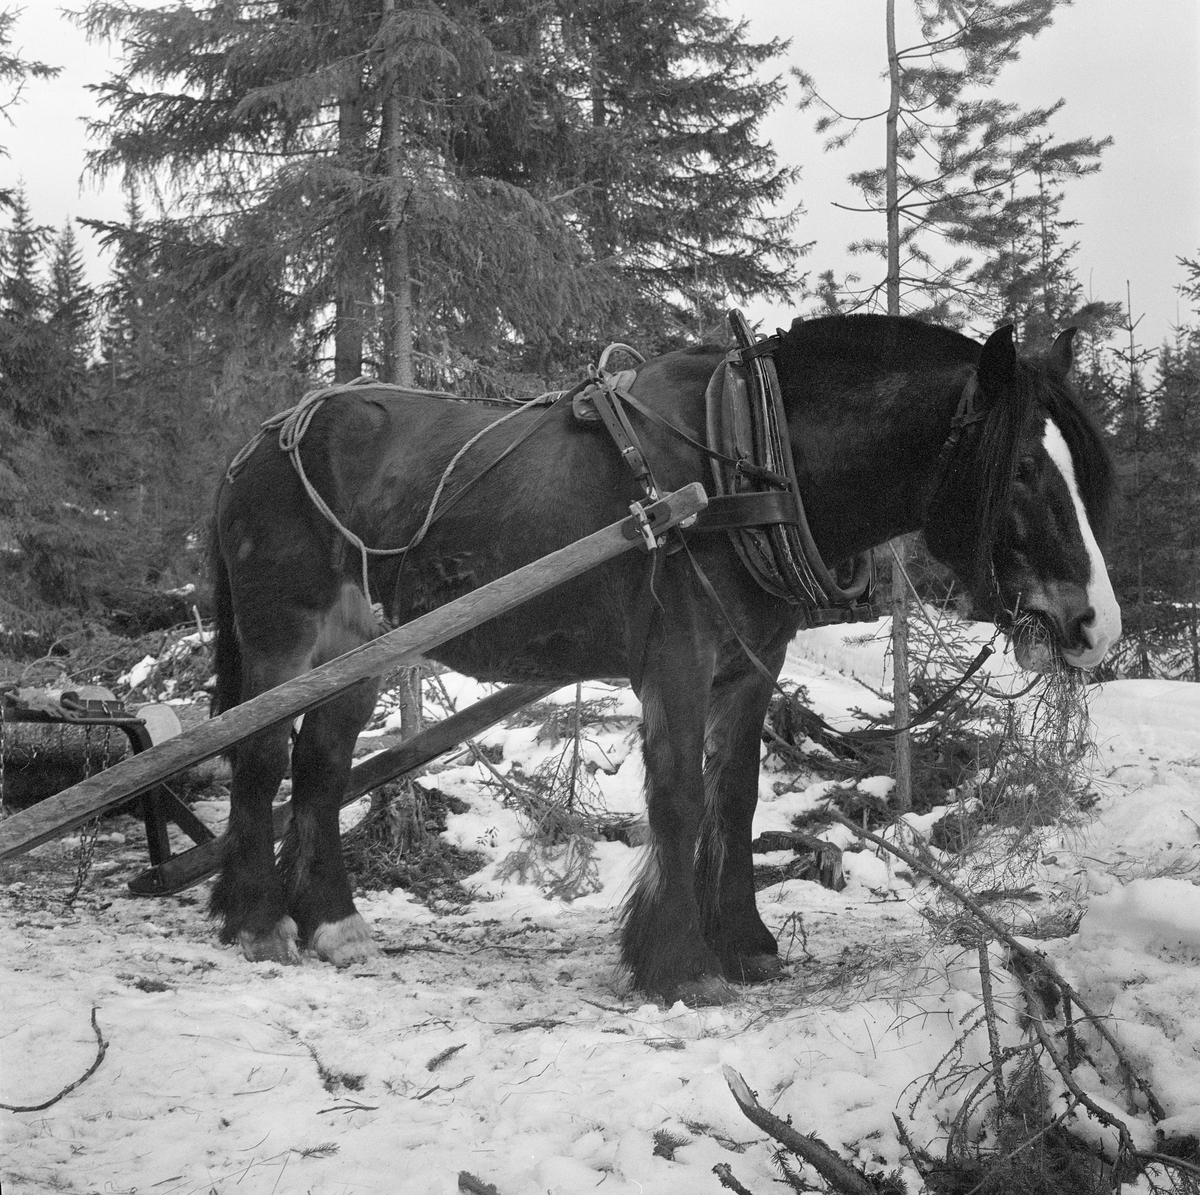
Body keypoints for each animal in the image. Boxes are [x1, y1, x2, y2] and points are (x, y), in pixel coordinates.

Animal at [211, 311, 1118, 1003]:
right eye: (1023, 468)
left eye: (1080, 467)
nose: (1096, 626)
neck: (746, 463)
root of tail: (259, 441)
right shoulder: (675, 660)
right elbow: (679, 797)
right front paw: (678, 962)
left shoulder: (752, 665)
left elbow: (737, 796)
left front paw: (743, 941)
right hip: (284, 637)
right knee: (258, 756)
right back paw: (258, 920)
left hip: (357, 649)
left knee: (322, 766)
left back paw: (332, 922)